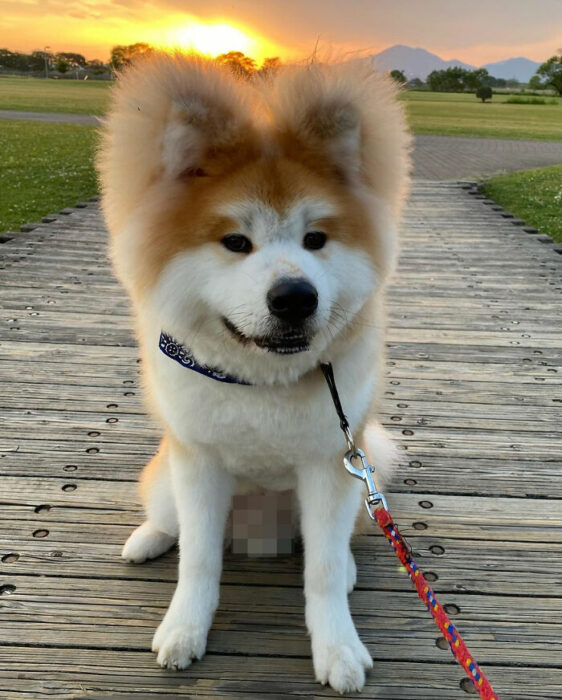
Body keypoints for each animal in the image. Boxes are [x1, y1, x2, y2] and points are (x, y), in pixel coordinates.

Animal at [98, 52, 410, 692]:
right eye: (235, 242)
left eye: (315, 238)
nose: (294, 296)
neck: (262, 379)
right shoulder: (198, 465)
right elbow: (198, 561)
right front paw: (184, 631)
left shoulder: (332, 467)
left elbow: (320, 573)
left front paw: (338, 649)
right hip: (167, 478)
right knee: (170, 523)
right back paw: (146, 540)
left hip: (363, 471)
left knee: (336, 547)